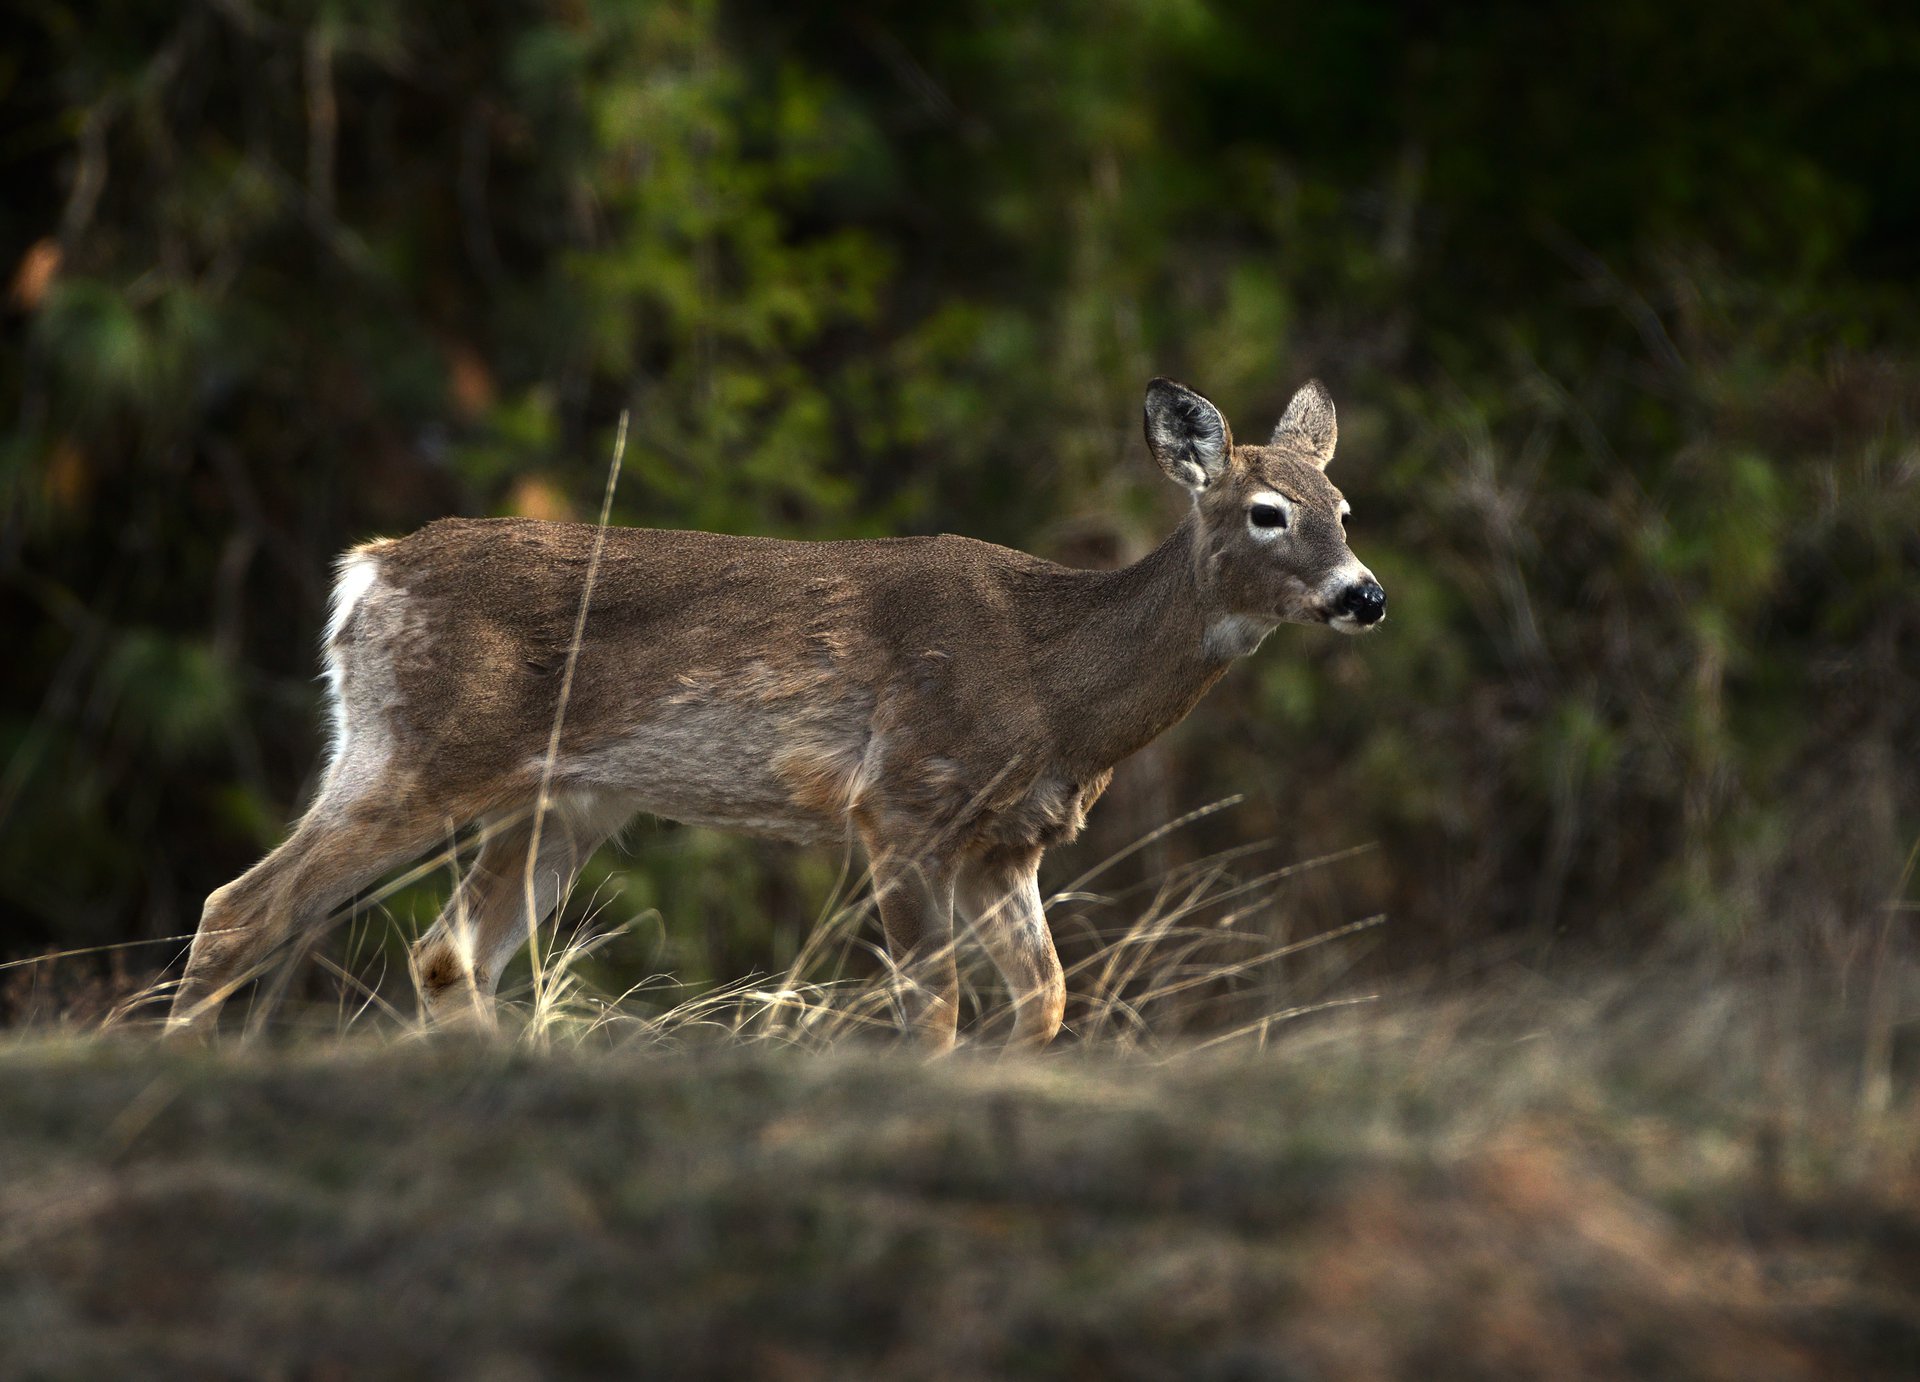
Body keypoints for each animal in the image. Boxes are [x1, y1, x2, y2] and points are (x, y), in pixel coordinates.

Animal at [166, 377, 1385, 1048]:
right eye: (1268, 512)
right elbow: (933, 1006)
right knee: (239, 906)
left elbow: (1040, 1002)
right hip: (419, 746)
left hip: (558, 799)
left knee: (445, 952)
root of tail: (364, 574)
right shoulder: (902, 799)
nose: (1364, 595)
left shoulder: (1006, 842)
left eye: (1344, 505)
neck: (1054, 682)